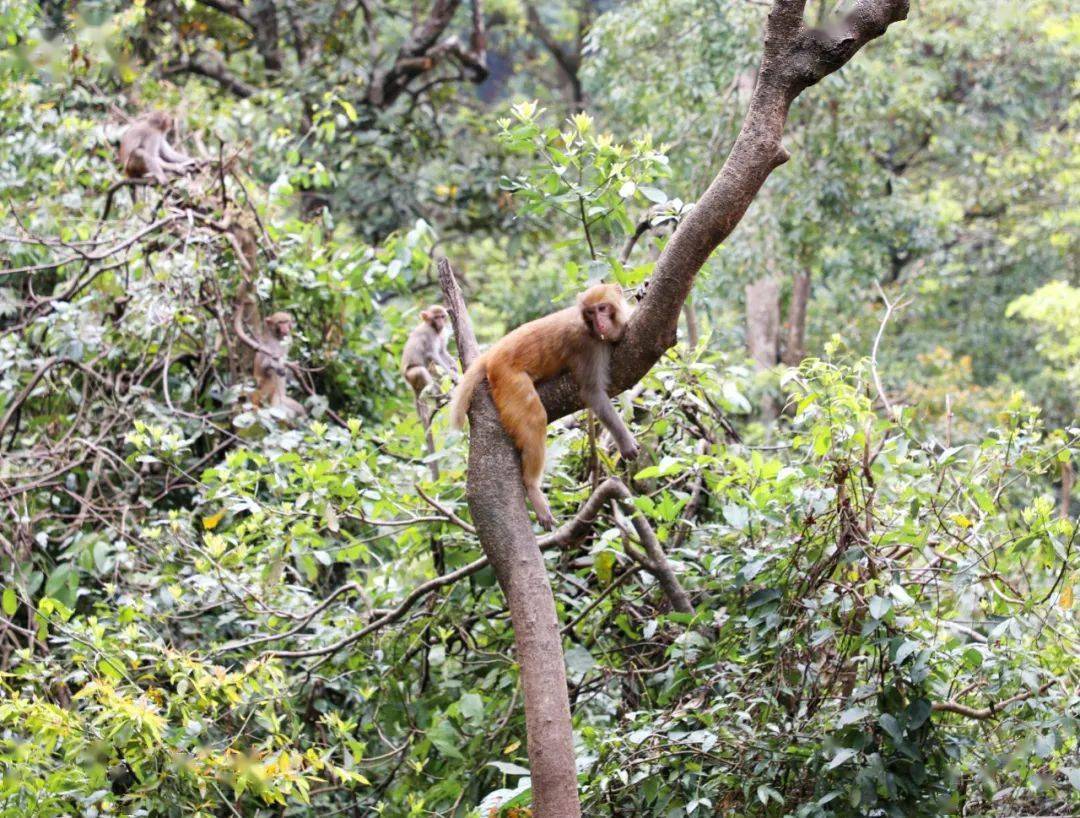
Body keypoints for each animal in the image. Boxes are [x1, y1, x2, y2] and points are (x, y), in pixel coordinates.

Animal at [449, 283, 639, 529]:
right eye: (590, 312)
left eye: (602, 308)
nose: (599, 323)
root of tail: (493, 354)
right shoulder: (589, 346)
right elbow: (593, 393)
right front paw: (625, 442)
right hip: (509, 378)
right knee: (534, 418)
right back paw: (532, 487)